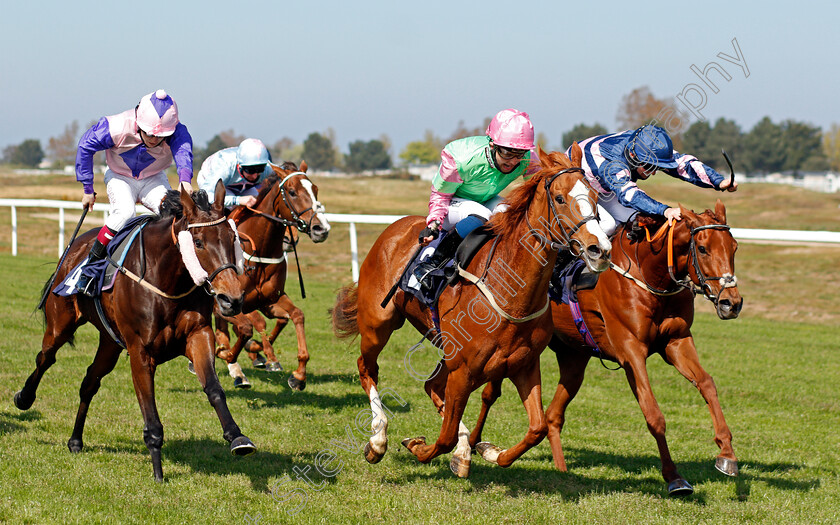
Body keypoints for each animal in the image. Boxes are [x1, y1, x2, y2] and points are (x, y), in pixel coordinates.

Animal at [13, 182, 256, 482]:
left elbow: (214, 388)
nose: (231, 299)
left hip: (110, 343)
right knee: (45, 357)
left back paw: (75, 440)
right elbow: (149, 411)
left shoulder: (198, 335)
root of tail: (74, 249)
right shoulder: (140, 350)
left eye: (231, 238)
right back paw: (24, 397)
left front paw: (237, 437)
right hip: (61, 324)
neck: (167, 279)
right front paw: (158, 470)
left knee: (89, 382)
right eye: (198, 242)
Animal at [213, 162, 332, 390]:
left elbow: (295, 316)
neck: (259, 251)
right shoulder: (228, 304)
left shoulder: (269, 300)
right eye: (292, 192)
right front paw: (232, 354)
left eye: (315, 189)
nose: (321, 229)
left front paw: (298, 375)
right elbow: (248, 327)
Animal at [328, 145, 612, 476]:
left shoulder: (523, 366)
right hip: (378, 324)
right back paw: (378, 440)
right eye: (559, 198)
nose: (599, 250)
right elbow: (444, 438)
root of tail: (396, 227)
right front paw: (418, 446)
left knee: (431, 386)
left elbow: (536, 428)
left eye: (594, 197)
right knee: (367, 368)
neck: (511, 293)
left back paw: (461, 451)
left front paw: (488, 451)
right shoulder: (463, 369)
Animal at [472, 201, 740, 496]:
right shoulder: (631, 352)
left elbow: (706, 384)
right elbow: (653, 413)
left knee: (553, 415)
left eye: (734, 247)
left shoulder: (677, 341)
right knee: (490, 394)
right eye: (702, 248)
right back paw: (474, 445)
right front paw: (674, 478)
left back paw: (561, 469)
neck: (649, 275)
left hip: (574, 358)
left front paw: (727, 454)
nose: (731, 303)